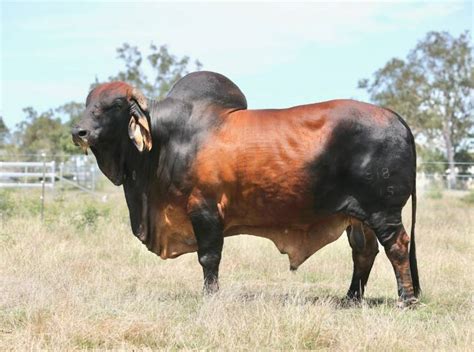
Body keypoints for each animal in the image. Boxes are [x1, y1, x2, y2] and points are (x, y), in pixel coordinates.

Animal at [72, 72, 420, 308]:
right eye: (88, 103)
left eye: (116, 104)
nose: (79, 131)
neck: (165, 140)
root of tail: (396, 118)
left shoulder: (204, 209)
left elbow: (208, 257)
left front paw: (210, 297)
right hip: (358, 216)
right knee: (364, 252)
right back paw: (350, 299)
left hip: (383, 210)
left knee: (397, 246)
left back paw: (405, 300)